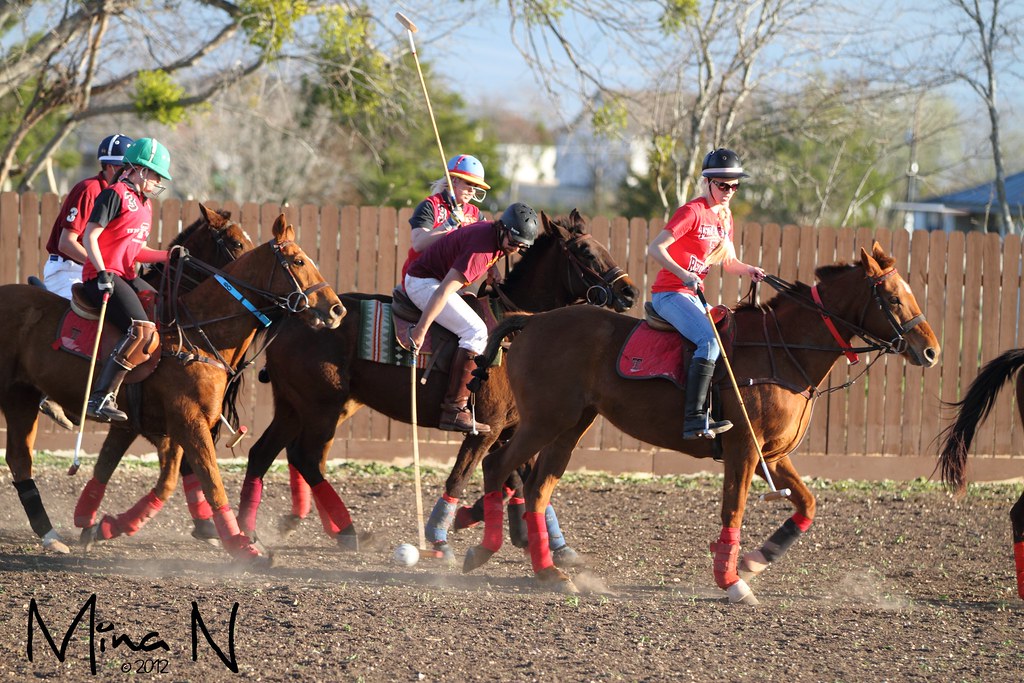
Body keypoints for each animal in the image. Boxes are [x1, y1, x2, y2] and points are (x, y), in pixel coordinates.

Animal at [236, 210, 638, 556]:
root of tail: (289, 318)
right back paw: (345, 531)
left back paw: (250, 531)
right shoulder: (486, 429)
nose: (630, 292)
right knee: (305, 457)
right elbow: (465, 478)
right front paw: (443, 535)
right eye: (586, 251)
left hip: (294, 405)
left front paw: (547, 543)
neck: (514, 329)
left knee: (263, 453)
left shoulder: (513, 428)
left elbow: (519, 479)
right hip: (321, 406)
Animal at [462, 242, 941, 604]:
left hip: (570, 426)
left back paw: (549, 574)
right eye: (892, 298)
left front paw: (754, 560)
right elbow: (734, 509)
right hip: (544, 420)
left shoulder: (773, 455)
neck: (783, 350)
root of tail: (533, 321)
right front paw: (732, 581)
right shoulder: (744, 449)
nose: (931, 350)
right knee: (498, 466)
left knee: (536, 488)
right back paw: (482, 550)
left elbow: (807, 504)